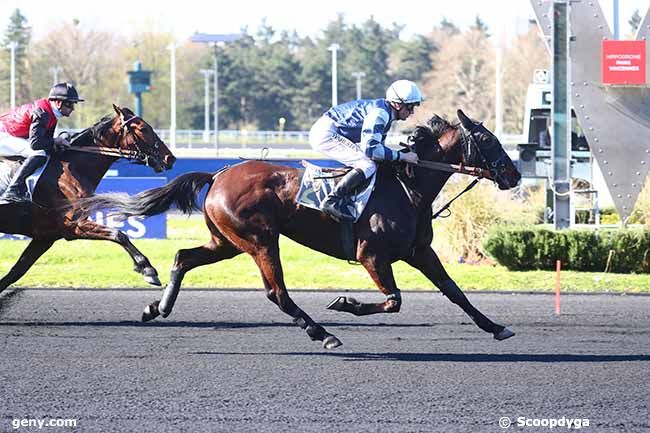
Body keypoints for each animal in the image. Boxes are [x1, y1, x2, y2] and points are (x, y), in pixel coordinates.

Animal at [0, 104, 176, 292]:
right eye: (143, 128)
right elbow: (118, 234)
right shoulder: (74, 226)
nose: (170, 158)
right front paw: (147, 269)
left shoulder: (45, 237)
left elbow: (15, 273)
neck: (71, 170)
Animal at [77, 109, 520, 348]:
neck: (407, 186)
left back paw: (158, 307)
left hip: (227, 241)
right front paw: (345, 303)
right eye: (487, 139)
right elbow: (394, 300)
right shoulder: (372, 256)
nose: (514, 175)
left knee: (183, 257)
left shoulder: (418, 252)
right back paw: (321, 332)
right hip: (259, 240)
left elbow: (454, 291)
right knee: (277, 293)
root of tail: (218, 174)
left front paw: (497, 327)